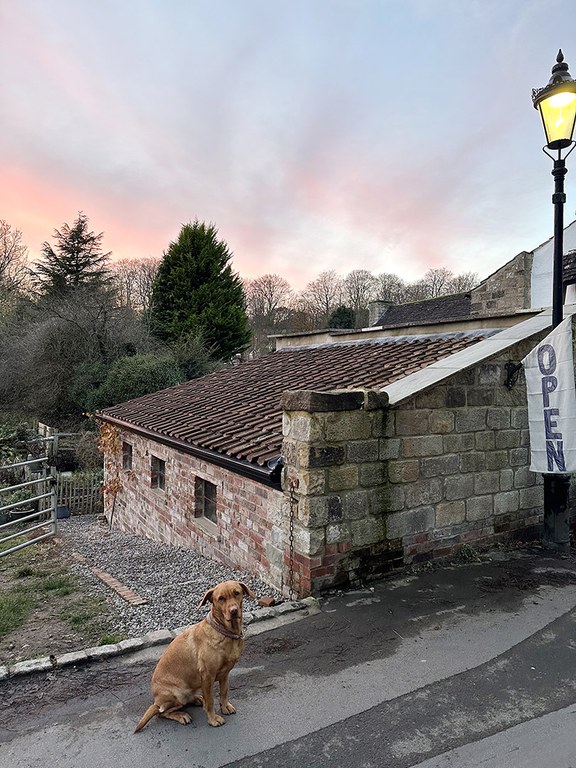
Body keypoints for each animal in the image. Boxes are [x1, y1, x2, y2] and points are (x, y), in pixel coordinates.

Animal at [134, 584, 254, 732]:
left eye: (237, 593)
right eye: (221, 598)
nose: (233, 611)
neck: (225, 632)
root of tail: (155, 701)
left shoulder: (225, 673)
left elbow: (224, 692)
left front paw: (225, 706)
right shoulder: (207, 676)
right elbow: (210, 701)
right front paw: (213, 719)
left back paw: (197, 699)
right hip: (177, 694)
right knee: (161, 712)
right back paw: (181, 715)